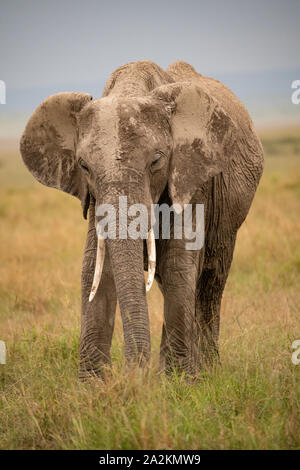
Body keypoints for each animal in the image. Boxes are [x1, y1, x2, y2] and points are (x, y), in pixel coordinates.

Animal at [19, 60, 264, 380]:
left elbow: (177, 264)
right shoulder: (94, 197)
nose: (135, 374)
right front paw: (93, 384)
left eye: (157, 160)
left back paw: (207, 369)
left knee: (211, 281)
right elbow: (96, 268)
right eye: (84, 166)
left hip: (228, 218)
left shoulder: (191, 177)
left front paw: (179, 381)